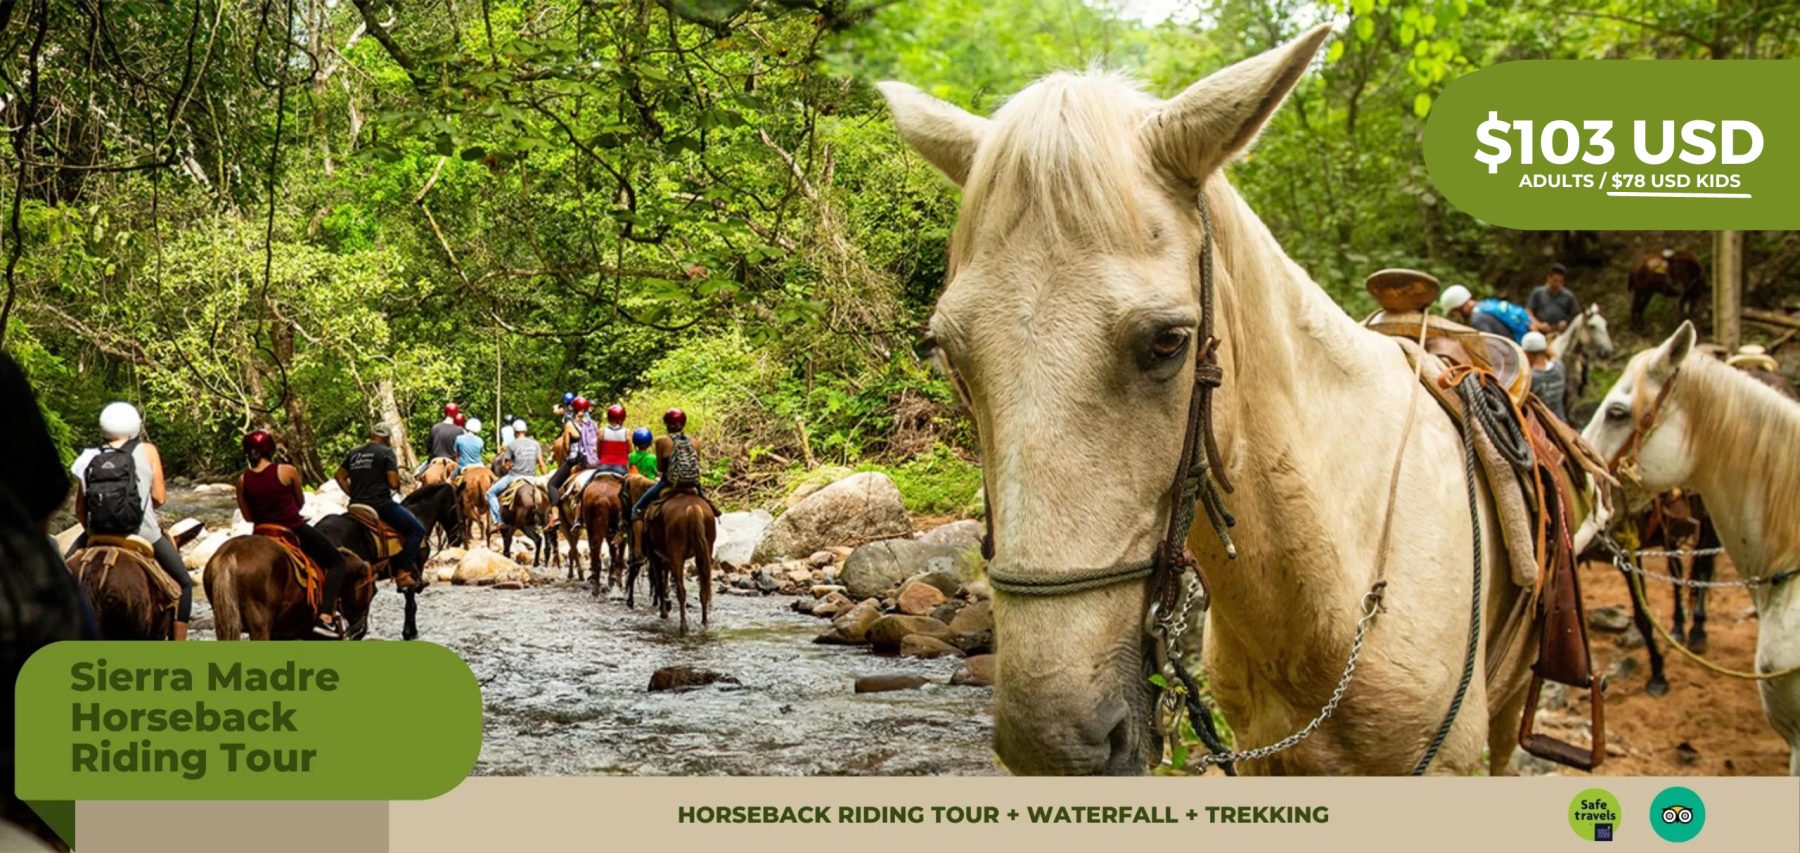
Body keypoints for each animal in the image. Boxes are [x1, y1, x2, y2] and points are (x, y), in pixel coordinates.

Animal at [315, 483, 458, 641]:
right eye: (457, 505)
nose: (457, 538)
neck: (419, 515)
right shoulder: (415, 570)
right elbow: (411, 603)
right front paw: (410, 632)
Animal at [640, 490, 716, 635]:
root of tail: (693, 508)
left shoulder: (655, 556)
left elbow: (660, 582)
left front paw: (663, 612)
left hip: (677, 555)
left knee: (681, 591)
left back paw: (683, 626)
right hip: (706, 551)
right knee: (703, 588)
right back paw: (704, 622)